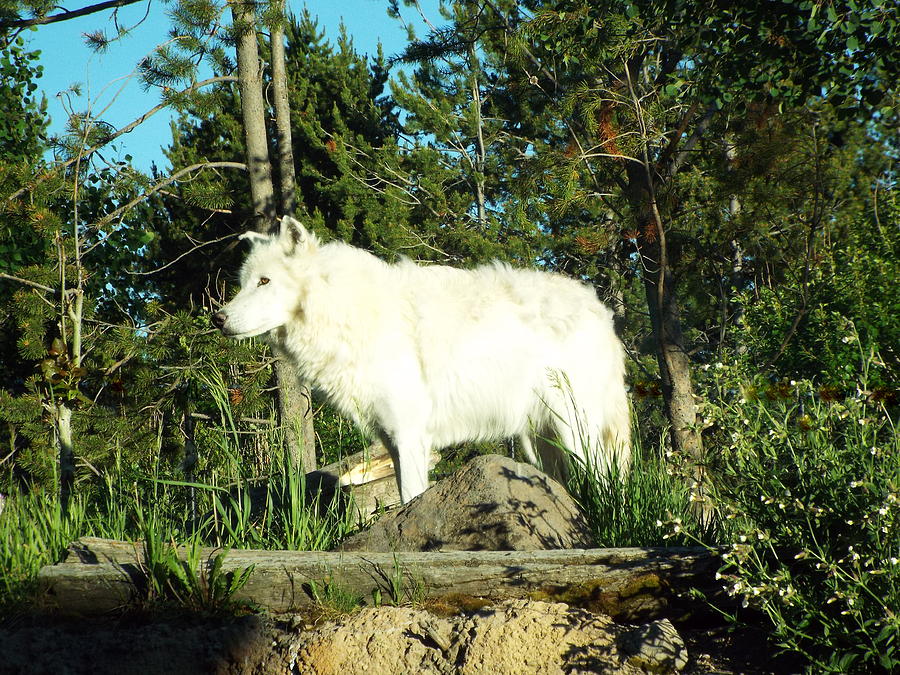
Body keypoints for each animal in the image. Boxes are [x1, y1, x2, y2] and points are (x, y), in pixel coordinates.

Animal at [214, 215, 628, 502]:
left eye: (264, 281)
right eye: (243, 283)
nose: (219, 318)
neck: (347, 311)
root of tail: (600, 310)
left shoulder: (410, 435)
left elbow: (411, 498)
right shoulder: (392, 443)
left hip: (577, 433)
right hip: (539, 443)